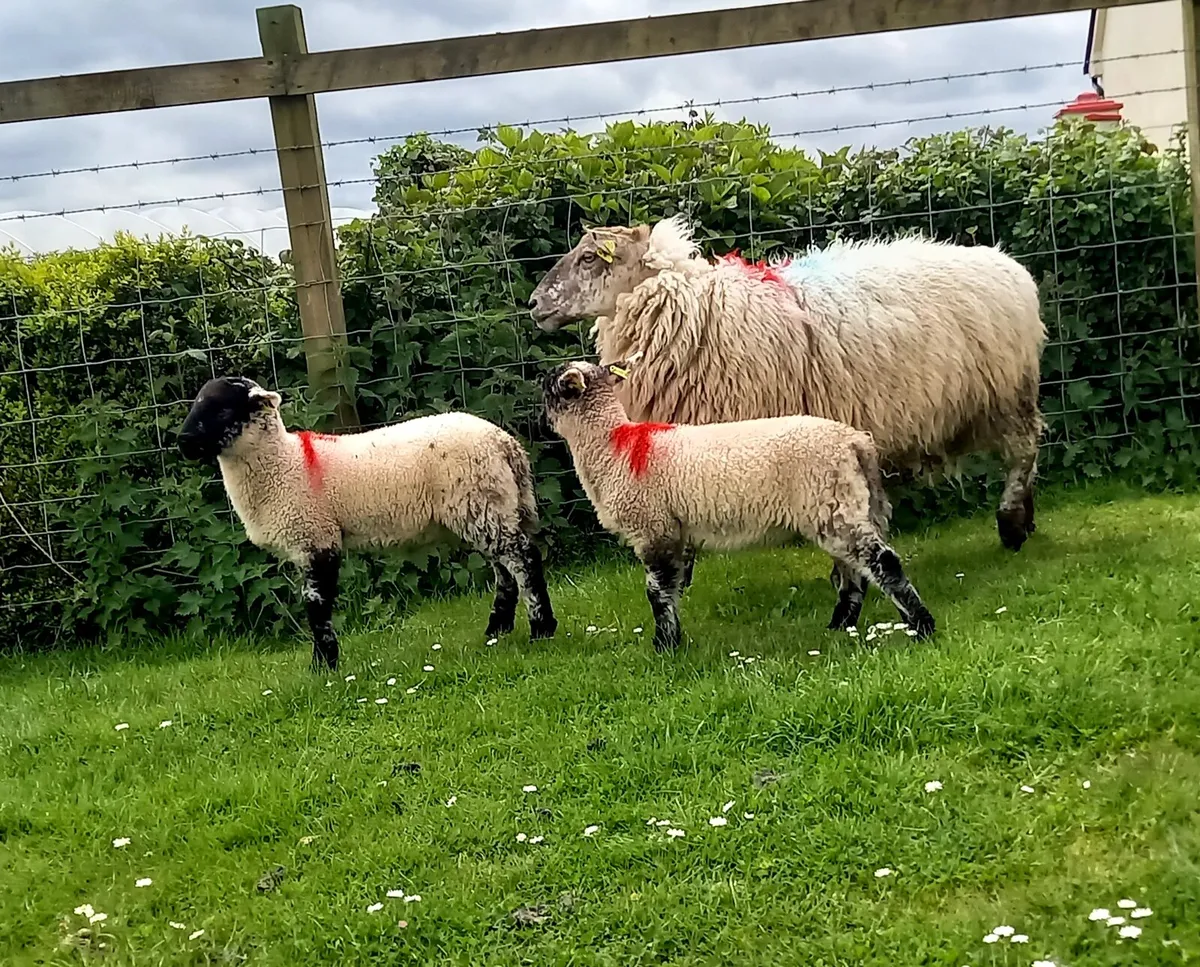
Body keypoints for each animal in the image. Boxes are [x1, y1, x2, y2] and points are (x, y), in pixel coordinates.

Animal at [177, 375, 557, 670]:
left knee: (524, 559)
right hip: (490, 505)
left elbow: (317, 606)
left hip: (479, 501)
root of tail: (505, 443)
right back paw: (497, 630)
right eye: (196, 405)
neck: (287, 463)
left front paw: (323, 667)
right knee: (505, 569)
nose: (183, 443)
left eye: (223, 409)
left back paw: (541, 628)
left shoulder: (317, 537)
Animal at [528, 216, 1047, 575]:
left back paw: (1012, 523)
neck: (692, 307)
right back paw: (1026, 520)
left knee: (1024, 452)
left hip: (1009, 393)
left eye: (590, 258)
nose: (533, 304)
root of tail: (1006, 262)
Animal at [541, 359, 936, 653]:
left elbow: (657, 591)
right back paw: (841, 626)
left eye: (550, 386)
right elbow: (674, 586)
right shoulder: (677, 530)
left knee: (882, 562)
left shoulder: (654, 527)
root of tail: (855, 443)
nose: (539, 417)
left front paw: (664, 646)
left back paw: (921, 626)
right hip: (843, 505)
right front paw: (673, 637)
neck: (614, 446)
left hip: (831, 503)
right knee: (854, 571)